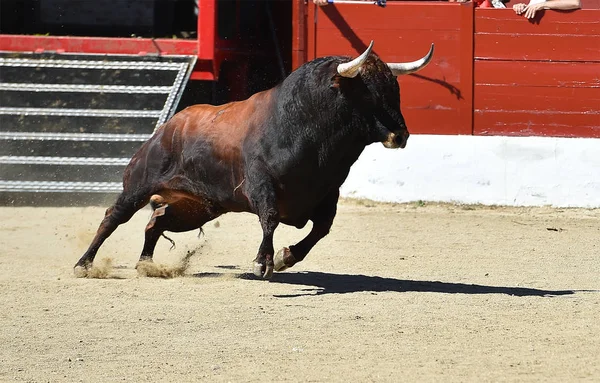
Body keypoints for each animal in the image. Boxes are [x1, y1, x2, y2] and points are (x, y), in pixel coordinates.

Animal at [75, 41, 434, 280]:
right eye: (366, 91)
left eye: (394, 88)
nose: (401, 135)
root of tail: (166, 128)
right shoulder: (262, 184)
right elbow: (270, 218)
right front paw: (264, 262)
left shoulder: (327, 194)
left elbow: (321, 230)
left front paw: (288, 256)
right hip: (138, 186)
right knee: (113, 218)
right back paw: (84, 264)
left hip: (196, 207)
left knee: (157, 221)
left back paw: (147, 264)